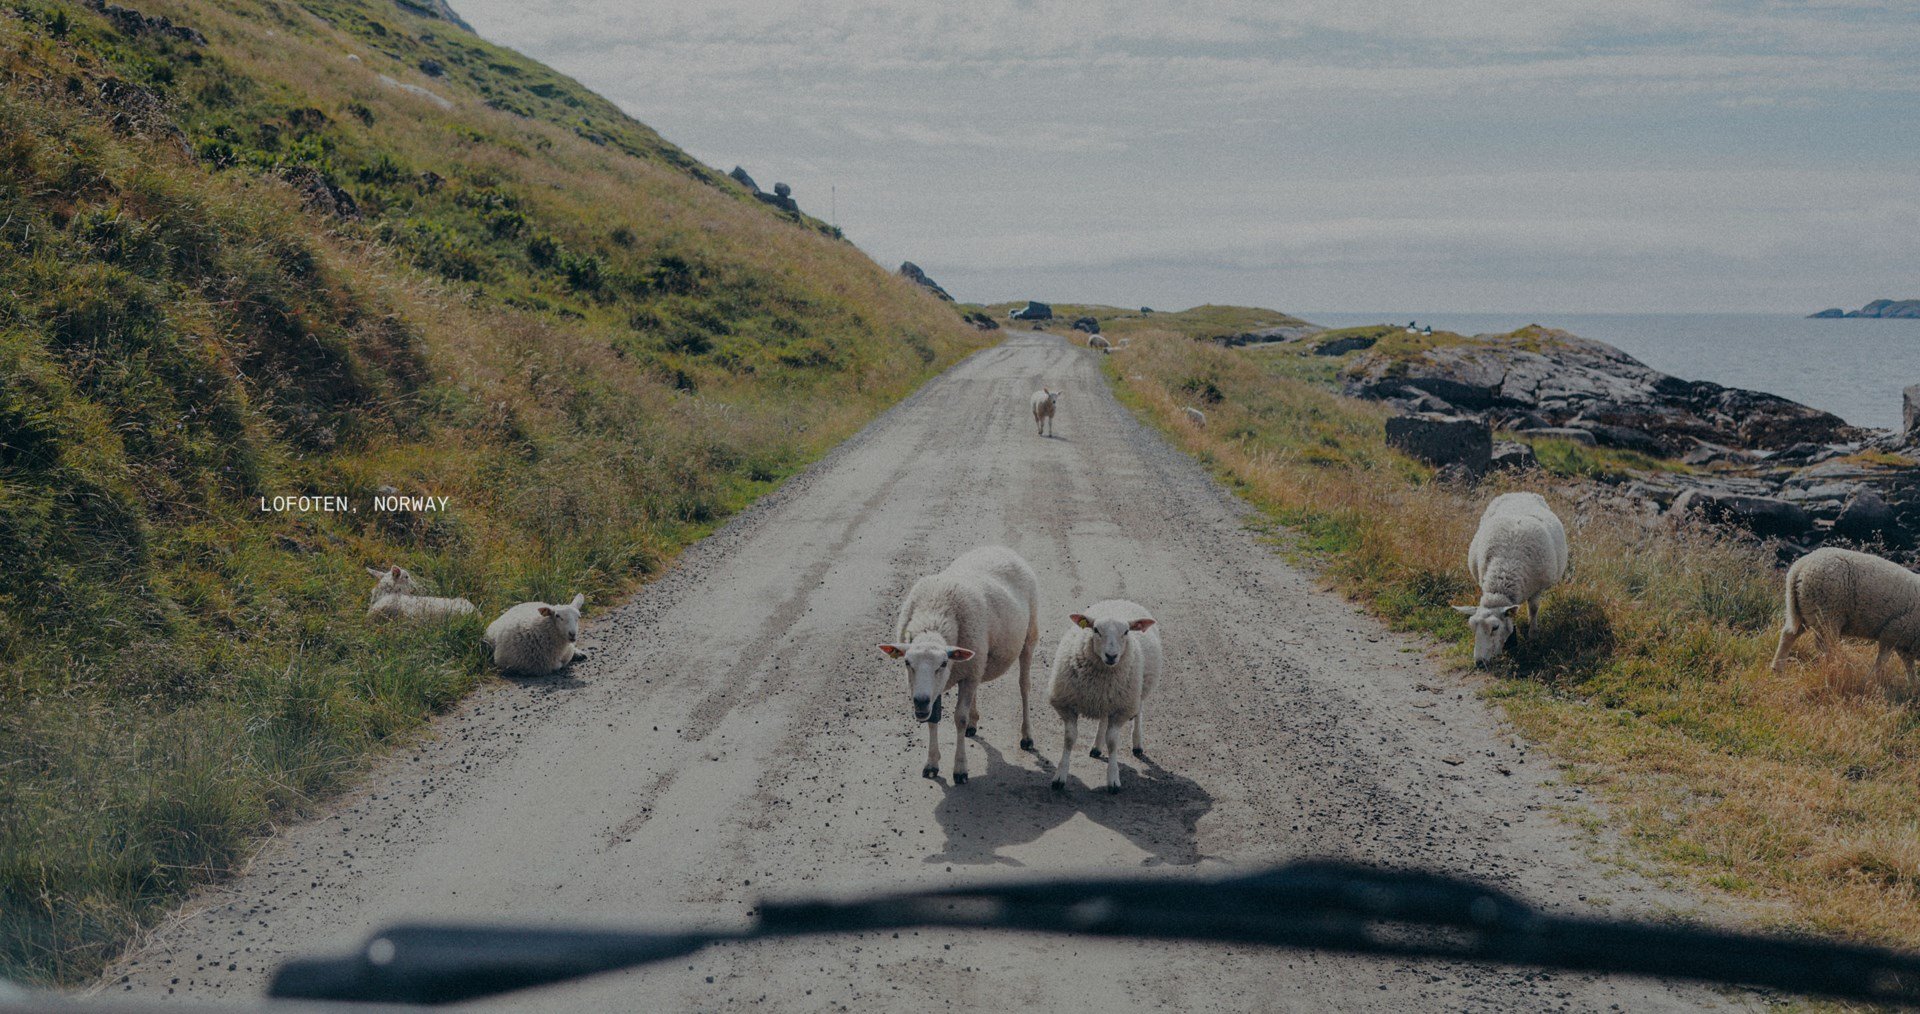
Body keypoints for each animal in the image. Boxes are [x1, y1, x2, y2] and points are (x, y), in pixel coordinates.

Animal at [879, 545, 1044, 783]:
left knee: (1024, 686)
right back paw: (974, 724)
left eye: (943, 663)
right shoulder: (948, 682)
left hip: (1029, 638)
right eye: (907, 662)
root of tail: (999, 547)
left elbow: (960, 718)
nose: (919, 701)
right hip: (977, 659)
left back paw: (1027, 736)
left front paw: (960, 768)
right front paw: (932, 763)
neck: (935, 615)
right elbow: (934, 718)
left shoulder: (962, 674)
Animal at [1044, 599, 1159, 795]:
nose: (1111, 656)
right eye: (1096, 629)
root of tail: (1120, 600)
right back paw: (1097, 747)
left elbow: (1112, 742)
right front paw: (1060, 776)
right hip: (1107, 700)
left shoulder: (1121, 709)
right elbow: (1069, 739)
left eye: (1126, 632)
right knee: (1103, 719)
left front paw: (1113, 779)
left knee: (1138, 712)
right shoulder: (1066, 704)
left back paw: (1137, 743)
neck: (1101, 679)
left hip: (1138, 690)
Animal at [1451, 491, 1574, 664]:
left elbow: (1533, 609)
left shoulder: (1537, 588)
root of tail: (1520, 492)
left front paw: (1533, 635)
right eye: (1472, 627)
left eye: (1495, 627)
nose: (1479, 663)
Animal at [1766, 541, 1920, 676]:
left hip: (1803, 610)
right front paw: (1871, 678)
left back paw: (1777, 669)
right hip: (1828, 614)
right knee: (1825, 646)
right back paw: (1833, 667)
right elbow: (1883, 659)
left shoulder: (1905, 642)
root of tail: (1799, 568)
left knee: (1788, 634)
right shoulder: (1892, 632)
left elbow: (1909, 666)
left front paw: (1911, 685)